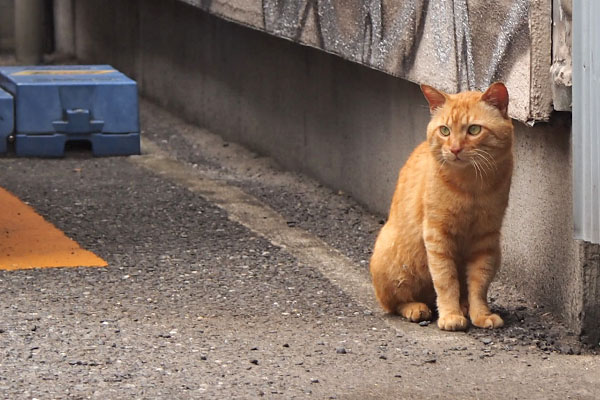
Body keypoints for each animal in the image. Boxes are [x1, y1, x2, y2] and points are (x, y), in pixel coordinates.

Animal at [372, 82, 512, 332]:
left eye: (474, 130)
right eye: (445, 131)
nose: (455, 149)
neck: (471, 186)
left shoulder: (486, 239)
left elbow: (479, 283)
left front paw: (480, 314)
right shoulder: (437, 235)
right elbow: (446, 280)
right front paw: (450, 315)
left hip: (497, 252)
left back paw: (464, 306)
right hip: (391, 259)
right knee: (395, 302)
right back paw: (417, 308)